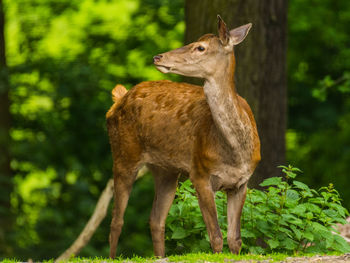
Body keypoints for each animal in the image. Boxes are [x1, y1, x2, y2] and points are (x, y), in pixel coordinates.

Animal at [106, 15, 260, 258]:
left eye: (201, 47)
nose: (158, 57)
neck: (235, 153)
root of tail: (118, 99)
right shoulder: (200, 173)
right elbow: (216, 237)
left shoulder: (241, 182)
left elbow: (235, 239)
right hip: (123, 154)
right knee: (116, 221)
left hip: (167, 170)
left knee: (156, 220)